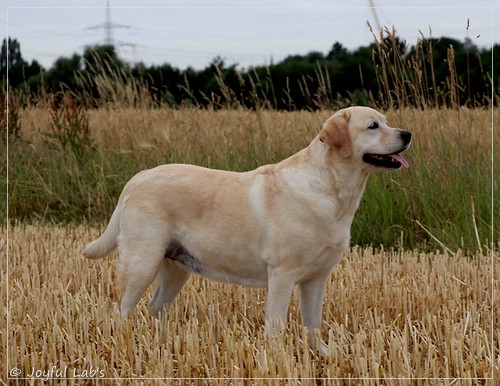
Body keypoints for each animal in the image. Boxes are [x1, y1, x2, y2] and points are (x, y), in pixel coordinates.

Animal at [85, 107, 410, 354]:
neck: (333, 190)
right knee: (123, 311)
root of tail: (138, 176)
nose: (407, 134)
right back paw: (125, 345)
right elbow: (276, 325)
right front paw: (278, 360)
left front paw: (322, 355)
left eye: (386, 121)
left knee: (155, 307)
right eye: (372, 126)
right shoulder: (282, 274)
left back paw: (163, 343)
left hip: (176, 267)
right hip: (142, 261)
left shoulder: (316, 278)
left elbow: (313, 322)